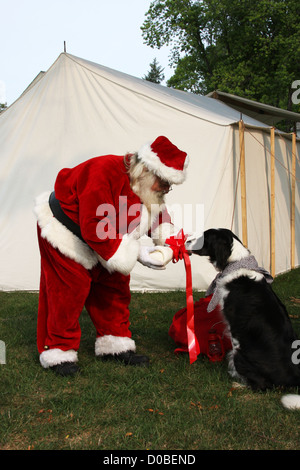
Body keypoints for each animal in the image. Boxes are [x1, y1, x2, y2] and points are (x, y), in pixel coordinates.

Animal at [190, 229, 300, 410]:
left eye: (204, 237)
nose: (186, 240)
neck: (236, 263)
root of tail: (294, 378)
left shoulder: (234, 329)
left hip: (241, 355)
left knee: (262, 386)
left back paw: (239, 385)